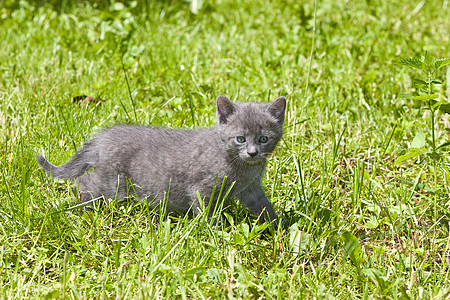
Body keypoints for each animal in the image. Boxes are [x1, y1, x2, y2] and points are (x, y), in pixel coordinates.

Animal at [37, 96, 284, 227]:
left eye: (263, 139)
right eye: (240, 139)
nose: (252, 153)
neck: (243, 168)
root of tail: (102, 139)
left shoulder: (251, 189)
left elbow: (263, 205)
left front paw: (277, 226)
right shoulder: (203, 188)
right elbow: (208, 212)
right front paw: (218, 233)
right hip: (111, 183)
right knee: (84, 183)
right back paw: (82, 209)